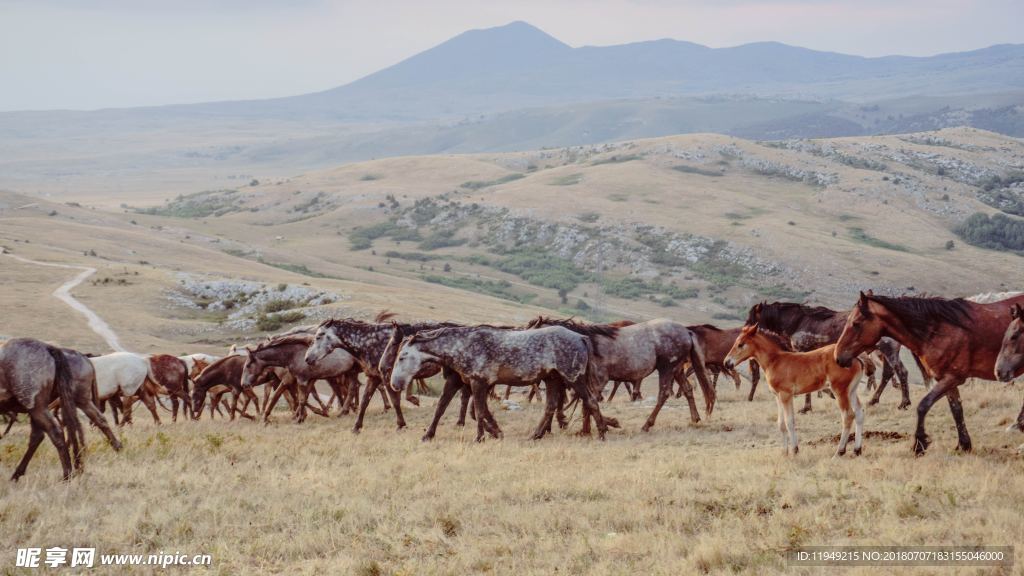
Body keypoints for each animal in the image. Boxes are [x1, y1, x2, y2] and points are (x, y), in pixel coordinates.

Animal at [720, 325, 864, 455]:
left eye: (740, 344)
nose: (727, 362)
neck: (775, 361)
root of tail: (855, 358)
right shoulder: (777, 396)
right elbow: (781, 424)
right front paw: (784, 452)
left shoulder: (786, 395)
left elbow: (789, 421)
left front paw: (795, 450)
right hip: (851, 391)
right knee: (859, 413)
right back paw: (857, 450)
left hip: (839, 391)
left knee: (848, 416)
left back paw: (840, 452)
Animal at [835, 291, 1024, 453]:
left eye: (855, 323)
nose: (838, 356)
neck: (937, 330)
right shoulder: (946, 379)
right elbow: (956, 410)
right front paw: (964, 444)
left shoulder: (953, 378)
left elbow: (923, 405)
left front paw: (919, 444)